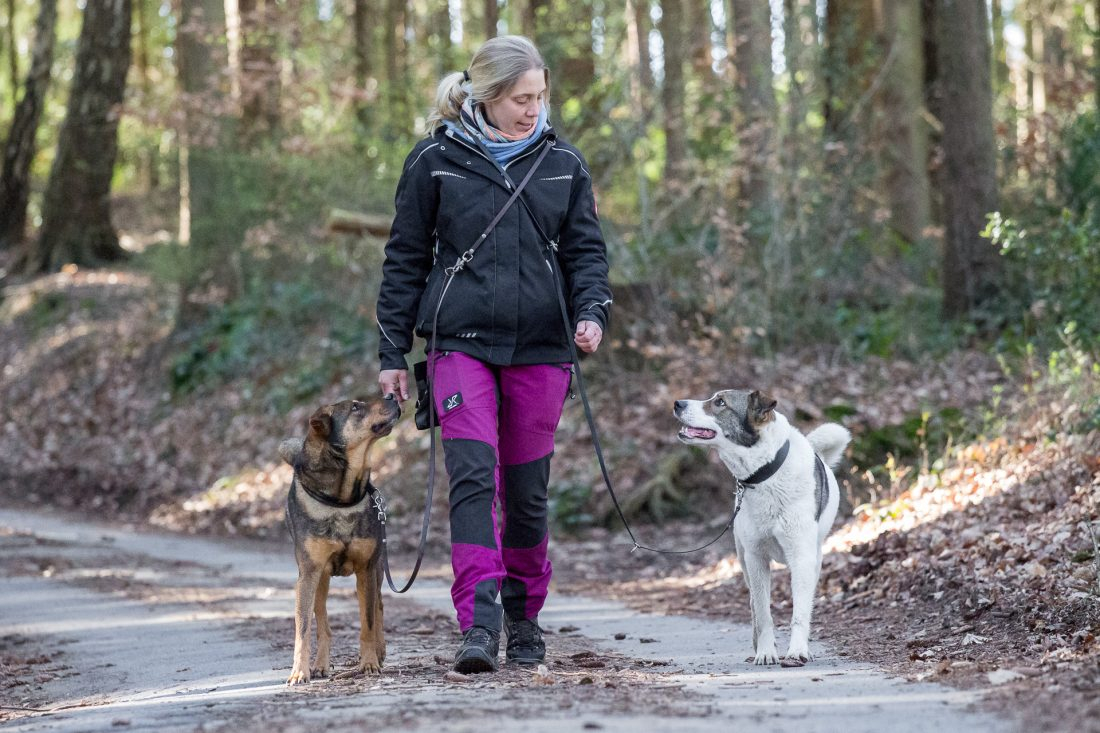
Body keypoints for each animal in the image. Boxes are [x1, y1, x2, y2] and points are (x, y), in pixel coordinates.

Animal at [277, 396, 402, 682]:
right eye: (355, 407)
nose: (392, 396)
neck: (341, 500)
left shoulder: (366, 569)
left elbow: (368, 623)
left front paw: (369, 663)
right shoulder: (308, 574)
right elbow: (304, 629)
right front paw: (299, 672)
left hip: (377, 571)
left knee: (378, 607)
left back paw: (379, 650)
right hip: (321, 581)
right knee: (323, 624)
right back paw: (321, 665)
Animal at [668, 391, 849, 664]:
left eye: (720, 402)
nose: (677, 403)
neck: (766, 472)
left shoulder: (801, 558)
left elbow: (800, 612)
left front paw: (797, 650)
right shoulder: (756, 558)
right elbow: (763, 613)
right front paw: (765, 652)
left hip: (814, 560)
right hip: (743, 560)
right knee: (754, 604)